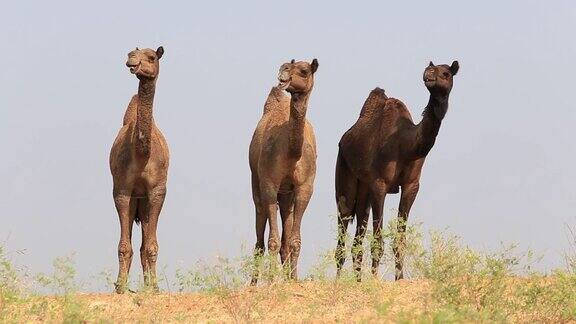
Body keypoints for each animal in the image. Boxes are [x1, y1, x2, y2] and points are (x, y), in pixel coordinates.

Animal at [248, 58, 320, 284]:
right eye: (285, 66)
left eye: (304, 70)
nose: (284, 71)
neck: (291, 154)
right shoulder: (269, 184)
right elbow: (272, 241)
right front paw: (271, 281)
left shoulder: (305, 187)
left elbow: (294, 241)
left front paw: (294, 280)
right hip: (256, 182)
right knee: (259, 237)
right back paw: (254, 283)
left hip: (287, 194)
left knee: (285, 233)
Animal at [332, 60, 460, 280]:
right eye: (432, 69)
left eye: (446, 73)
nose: (429, 73)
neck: (405, 144)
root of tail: (345, 138)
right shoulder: (379, 184)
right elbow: (378, 241)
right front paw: (375, 280)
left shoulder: (411, 185)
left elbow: (400, 240)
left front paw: (399, 279)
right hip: (344, 170)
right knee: (344, 218)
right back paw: (340, 280)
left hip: (364, 189)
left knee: (358, 234)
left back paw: (358, 281)